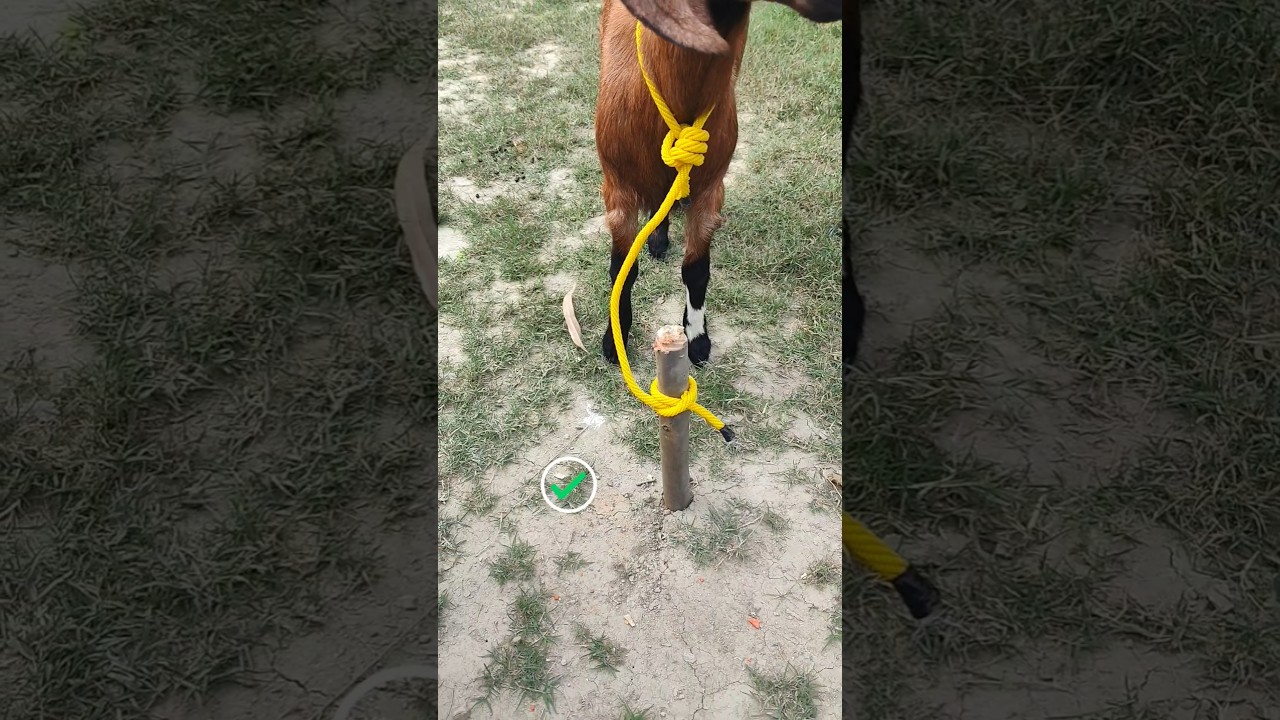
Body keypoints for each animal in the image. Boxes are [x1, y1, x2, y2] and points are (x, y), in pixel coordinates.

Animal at [595, 0, 843, 367]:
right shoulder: (617, 190)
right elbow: (622, 270)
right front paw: (614, 341)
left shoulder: (711, 189)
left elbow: (696, 270)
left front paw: (697, 340)